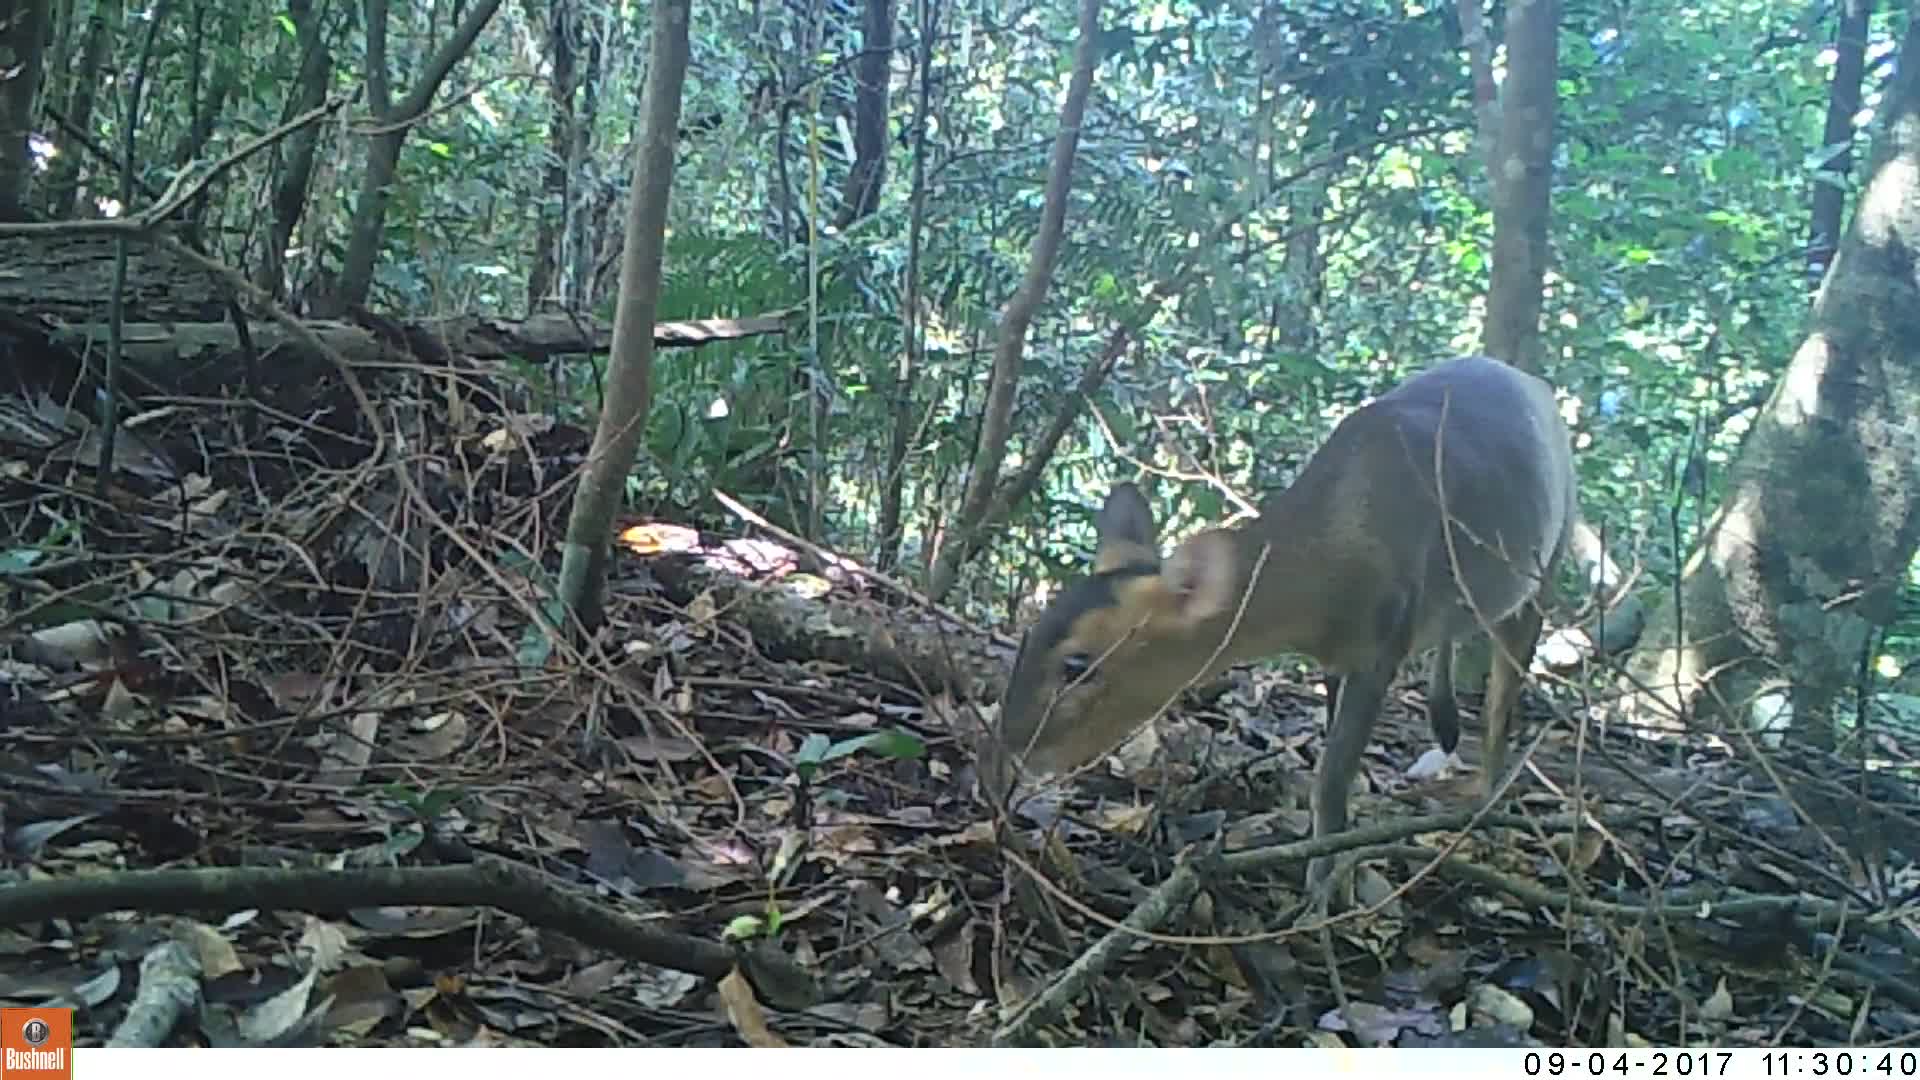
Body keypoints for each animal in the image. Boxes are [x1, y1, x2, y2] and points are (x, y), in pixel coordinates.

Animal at [983, 351, 1582, 891]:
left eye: (1077, 666)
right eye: (1031, 634)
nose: (1007, 746)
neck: (1325, 572)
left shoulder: (1383, 642)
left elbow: (1330, 781)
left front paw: (1322, 887)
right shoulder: (1339, 658)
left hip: (1545, 566)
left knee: (1504, 701)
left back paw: (1486, 813)